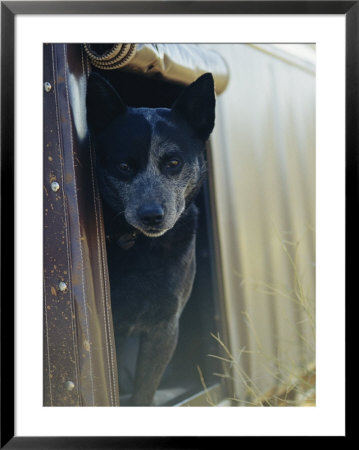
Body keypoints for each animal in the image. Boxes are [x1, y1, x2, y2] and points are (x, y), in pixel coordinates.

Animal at [87, 72, 217, 406]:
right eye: (123, 166)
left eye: (173, 162)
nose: (151, 215)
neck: (140, 244)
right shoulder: (114, 330)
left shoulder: (164, 326)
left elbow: (145, 392)